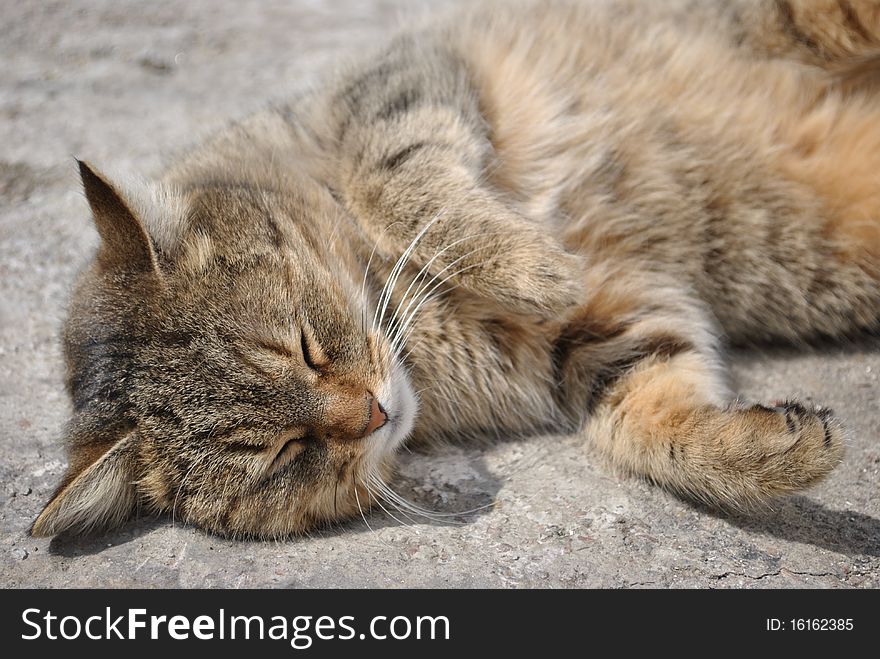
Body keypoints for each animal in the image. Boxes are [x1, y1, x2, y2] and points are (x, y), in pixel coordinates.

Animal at [29, 0, 880, 540]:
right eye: (285, 453)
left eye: (303, 345)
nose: (373, 412)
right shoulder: (607, 332)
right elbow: (655, 423)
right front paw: (770, 450)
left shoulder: (403, 79)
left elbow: (402, 175)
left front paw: (533, 265)